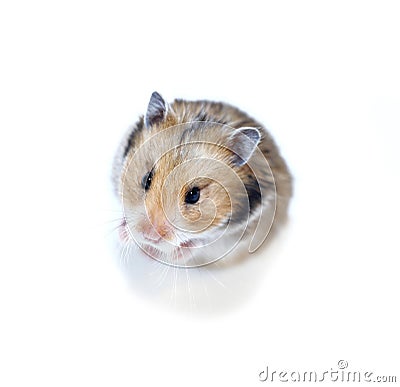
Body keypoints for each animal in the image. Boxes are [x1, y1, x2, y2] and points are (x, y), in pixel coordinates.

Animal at [111, 91, 290, 266]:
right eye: (147, 179)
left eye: (194, 195)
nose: (149, 237)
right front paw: (124, 234)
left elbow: (201, 242)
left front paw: (174, 255)